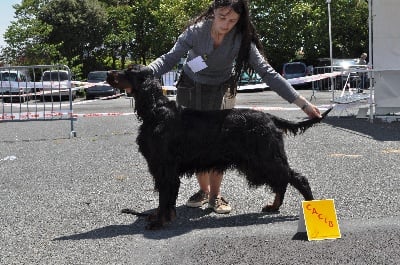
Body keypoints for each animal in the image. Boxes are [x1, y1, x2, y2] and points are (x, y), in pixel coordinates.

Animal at [107, 66, 332, 229]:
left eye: (128, 71)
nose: (108, 73)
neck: (155, 110)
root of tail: (269, 117)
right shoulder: (162, 167)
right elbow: (167, 199)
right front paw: (162, 217)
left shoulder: (165, 167)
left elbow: (165, 197)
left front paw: (159, 221)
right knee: (282, 181)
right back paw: (274, 206)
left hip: (265, 158)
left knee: (296, 178)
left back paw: (311, 206)